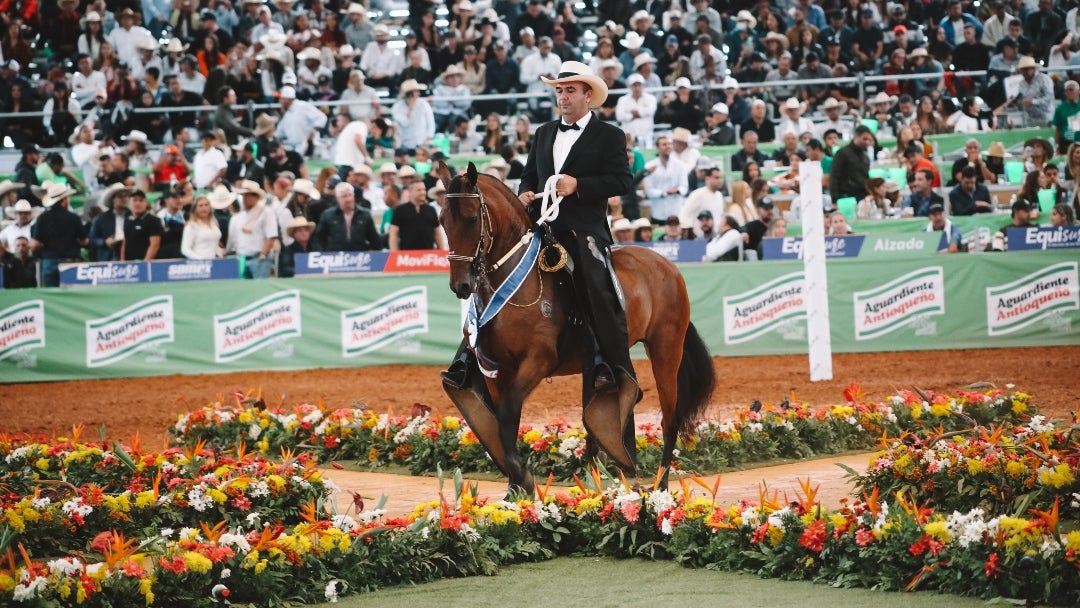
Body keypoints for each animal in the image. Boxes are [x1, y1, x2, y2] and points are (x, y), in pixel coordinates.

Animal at [434, 161, 712, 494]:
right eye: (442, 221)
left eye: (472, 218)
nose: (461, 285)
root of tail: (667, 266)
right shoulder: (495, 371)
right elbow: (504, 424)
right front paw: (515, 491)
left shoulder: (537, 361)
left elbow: (509, 413)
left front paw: (524, 478)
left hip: (665, 351)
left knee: (670, 418)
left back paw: (659, 485)